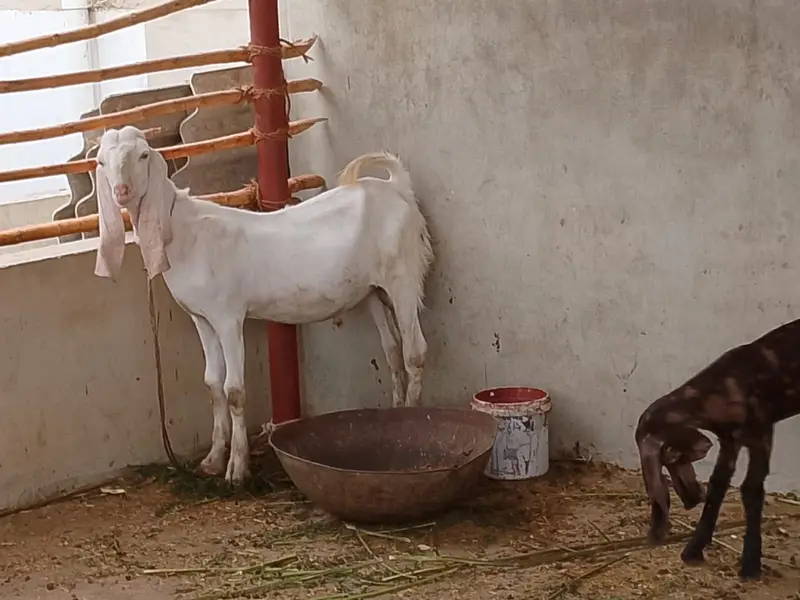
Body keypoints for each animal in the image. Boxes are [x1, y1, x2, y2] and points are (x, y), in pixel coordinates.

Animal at [93, 125, 434, 485]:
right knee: (392, 349)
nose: (121, 191)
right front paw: (212, 461)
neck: (186, 231)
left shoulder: (228, 316)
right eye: (101, 162)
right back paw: (395, 413)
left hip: (403, 276)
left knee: (414, 351)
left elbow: (233, 390)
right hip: (372, 290)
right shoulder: (202, 318)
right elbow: (212, 384)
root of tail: (396, 186)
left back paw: (411, 417)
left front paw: (236, 469)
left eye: (144, 155)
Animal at [635, 318, 800, 580]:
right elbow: (717, 485)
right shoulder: (730, 441)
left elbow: (751, 489)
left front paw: (750, 565)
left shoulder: (761, 432)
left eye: (672, 455)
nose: (692, 498)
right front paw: (693, 550)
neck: (724, 389)